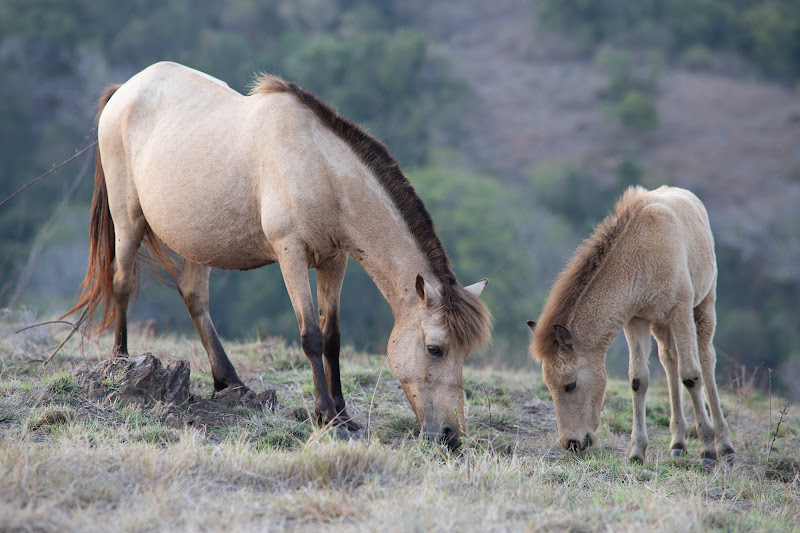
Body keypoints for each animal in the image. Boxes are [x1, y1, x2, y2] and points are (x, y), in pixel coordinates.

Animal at [67, 60, 494, 446]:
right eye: (435, 349)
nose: (451, 436)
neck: (320, 169)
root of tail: (124, 90)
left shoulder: (334, 260)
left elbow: (332, 337)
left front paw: (343, 415)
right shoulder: (291, 254)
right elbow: (311, 337)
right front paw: (327, 418)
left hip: (198, 242)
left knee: (193, 294)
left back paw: (230, 382)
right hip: (128, 217)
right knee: (122, 282)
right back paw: (121, 362)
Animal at [528, 185, 736, 464]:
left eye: (569, 385)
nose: (571, 443)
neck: (641, 253)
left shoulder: (680, 312)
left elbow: (691, 376)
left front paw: (707, 450)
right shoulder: (636, 320)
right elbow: (639, 380)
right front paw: (637, 451)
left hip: (704, 306)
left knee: (705, 360)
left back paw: (723, 444)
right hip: (660, 324)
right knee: (670, 362)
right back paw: (678, 442)